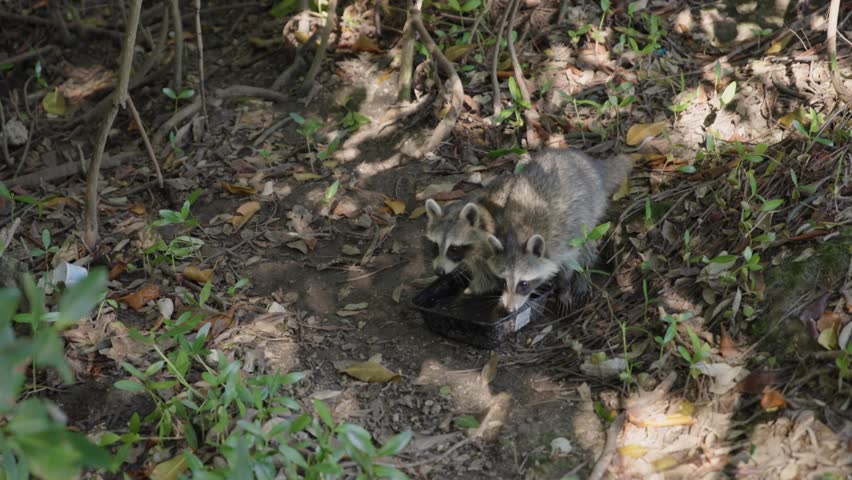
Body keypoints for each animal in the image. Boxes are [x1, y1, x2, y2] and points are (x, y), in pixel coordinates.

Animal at [485, 148, 633, 312]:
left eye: (523, 284)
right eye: (503, 281)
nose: (510, 309)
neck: (518, 234)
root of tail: (590, 164)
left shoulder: (565, 240)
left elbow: (569, 263)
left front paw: (564, 288)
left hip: (592, 207)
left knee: (588, 244)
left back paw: (584, 274)